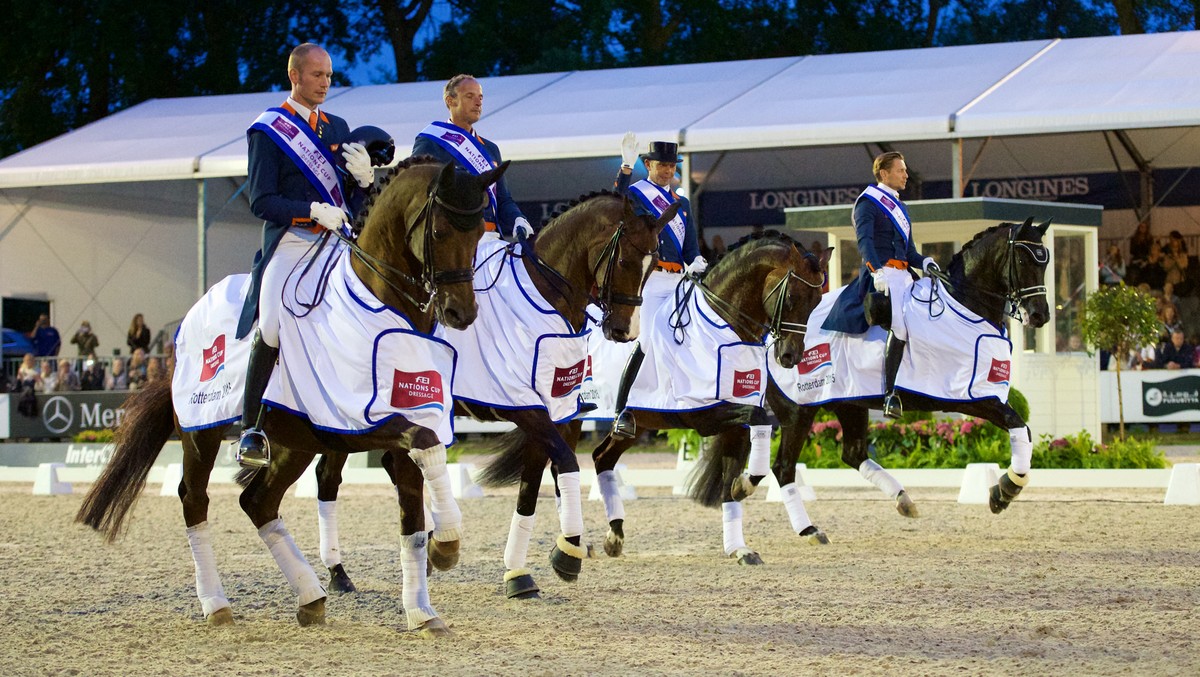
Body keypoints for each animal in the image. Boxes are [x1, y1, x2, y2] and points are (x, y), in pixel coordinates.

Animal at [75, 156, 506, 638]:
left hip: (292, 442)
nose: (461, 313)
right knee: (195, 500)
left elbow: (414, 512)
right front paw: (443, 551)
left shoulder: (404, 423)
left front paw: (424, 603)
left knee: (257, 502)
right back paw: (216, 604)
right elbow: (425, 452)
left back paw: (310, 597)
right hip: (201, 433)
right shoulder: (359, 424)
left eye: (478, 233)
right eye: (439, 232)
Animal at [304, 190, 681, 597]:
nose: (626, 331)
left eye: (653, 266)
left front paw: (518, 573)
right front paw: (567, 552)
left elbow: (531, 489)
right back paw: (339, 572)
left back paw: (431, 544)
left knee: (394, 465)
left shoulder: (555, 414)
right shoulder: (526, 409)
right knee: (329, 476)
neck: (547, 301)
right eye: (625, 260)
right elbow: (565, 464)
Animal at [583, 232, 835, 566]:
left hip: (635, 426)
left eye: (817, 301)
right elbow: (760, 421)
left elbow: (731, 483)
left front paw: (739, 546)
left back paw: (613, 537)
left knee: (603, 458)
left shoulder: (735, 422)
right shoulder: (703, 414)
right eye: (792, 297)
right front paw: (745, 487)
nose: (790, 356)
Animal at [720, 217, 1051, 535]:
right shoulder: (974, 397)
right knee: (784, 467)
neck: (965, 308)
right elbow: (1019, 426)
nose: (1040, 316)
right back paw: (790, 516)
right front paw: (1005, 490)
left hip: (849, 401)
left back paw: (903, 499)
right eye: (1023, 260)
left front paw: (1004, 488)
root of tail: (768, 335)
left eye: (1044, 262)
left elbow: (1024, 430)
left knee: (853, 454)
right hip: (800, 408)